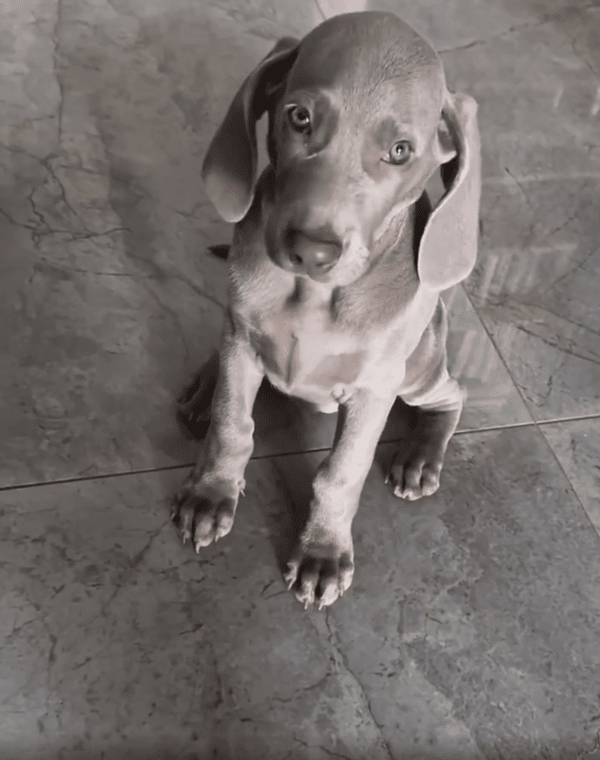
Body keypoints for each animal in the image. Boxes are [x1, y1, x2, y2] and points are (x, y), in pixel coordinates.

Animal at [172, 11, 481, 609]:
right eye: (299, 117)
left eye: (401, 151)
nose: (312, 250)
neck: (312, 297)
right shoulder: (244, 341)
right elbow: (232, 424)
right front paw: (211, 493)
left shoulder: (375, 388)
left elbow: (342, 471)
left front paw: (322, 552)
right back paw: (203, 386)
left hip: (417, 368)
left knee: (452, 395)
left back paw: (420, 457)